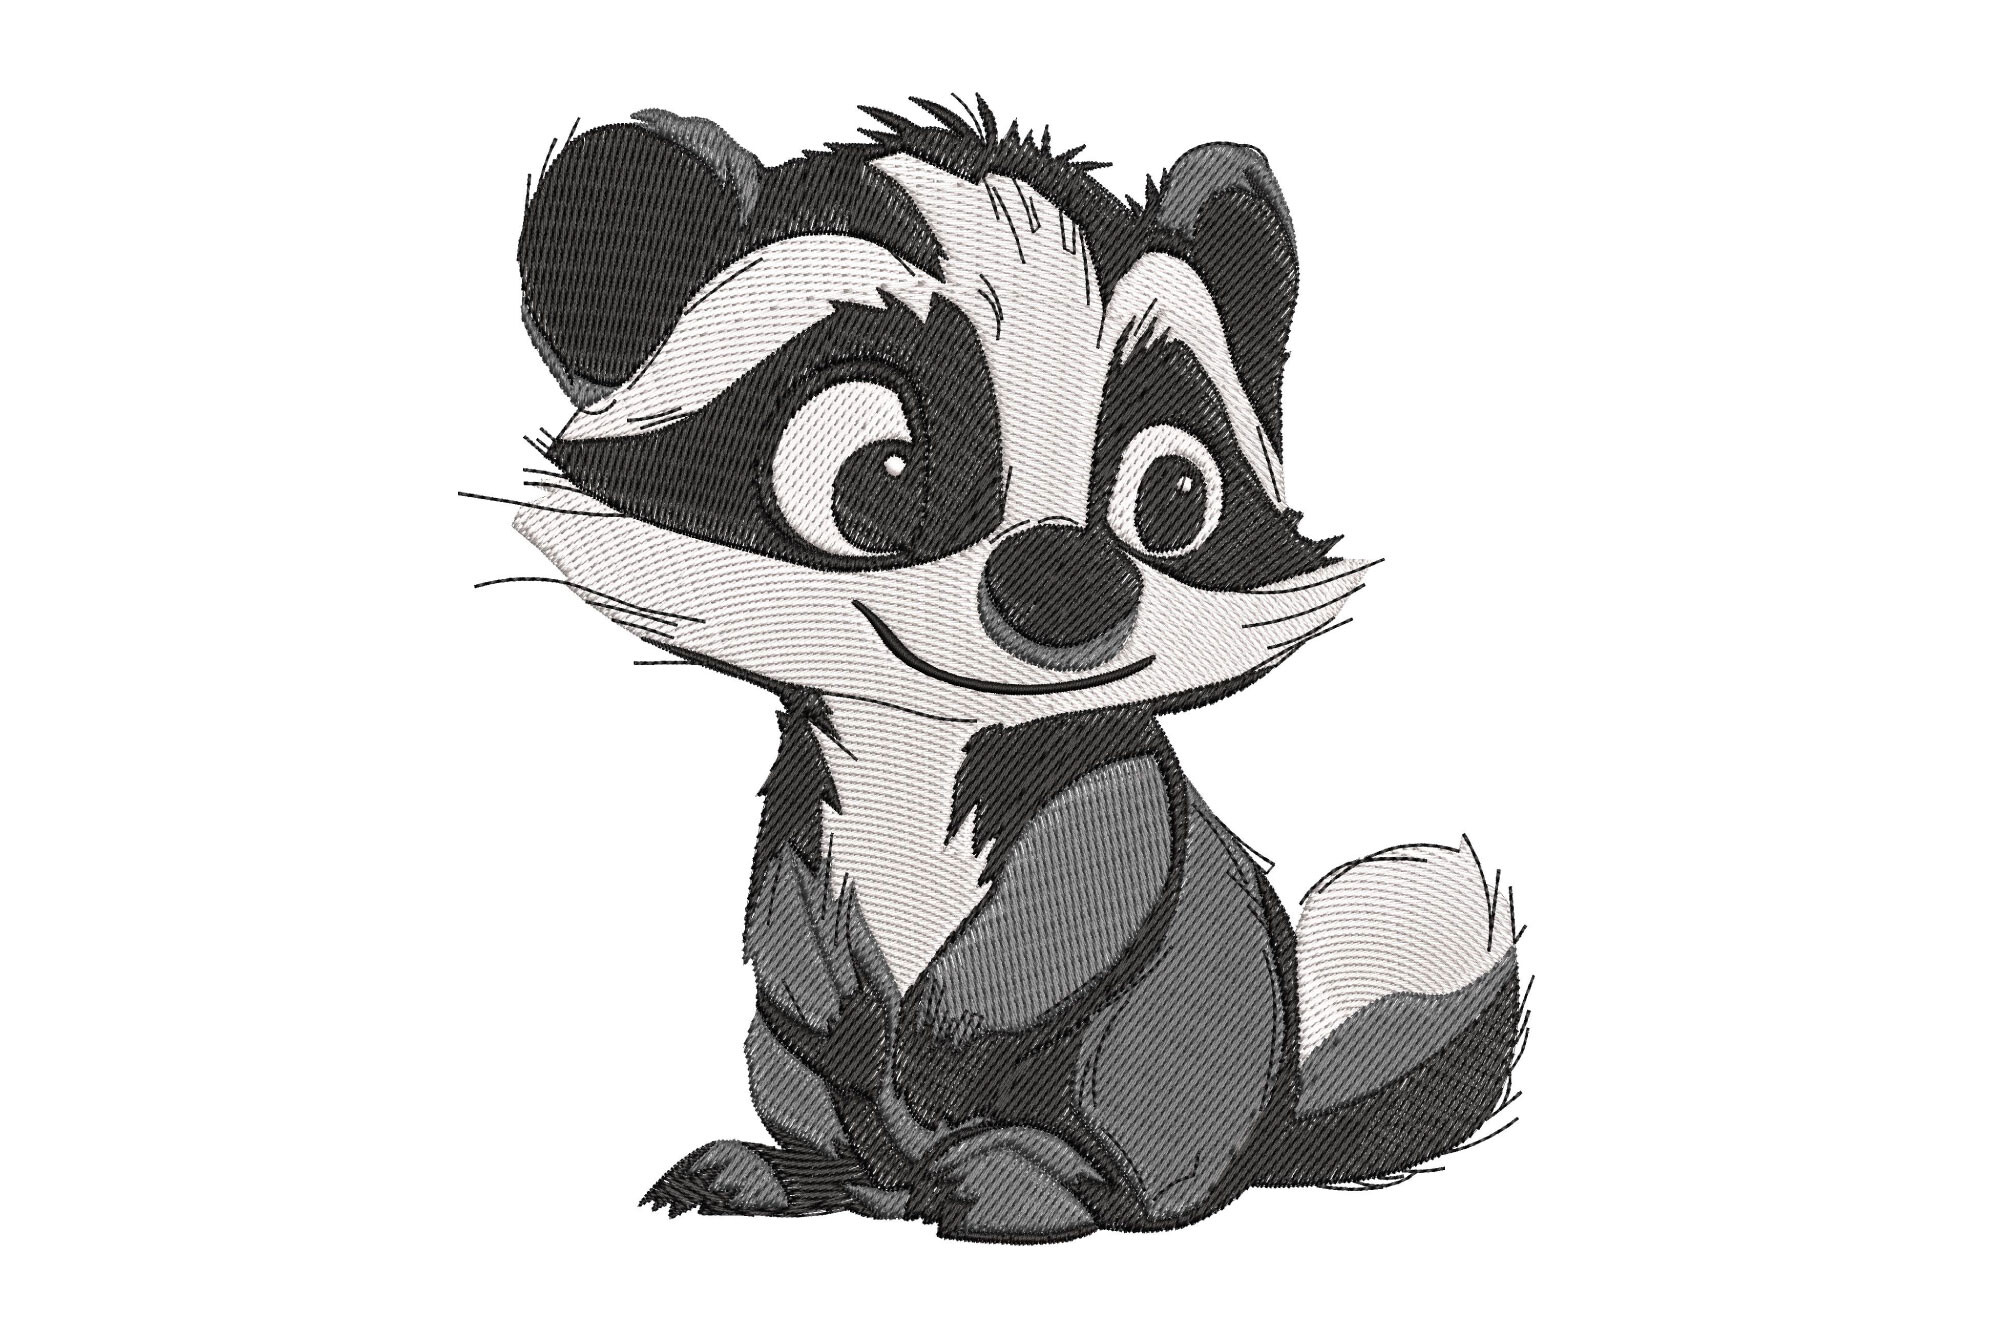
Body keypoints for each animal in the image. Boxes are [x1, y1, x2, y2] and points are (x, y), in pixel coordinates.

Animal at [493, 97, 1521, 1242]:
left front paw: (943, 1044)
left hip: (1171, 1058)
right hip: (791, 1073)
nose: (1067, 582)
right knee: (831, 1124)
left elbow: (1078, 895)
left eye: (1174, 492)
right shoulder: (804, 801)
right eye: (877, 473)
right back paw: (791, 1172)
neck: (929, 746)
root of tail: (1269, 1127)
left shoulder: (1109, 788)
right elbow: (785, 911)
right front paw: (850, 1023)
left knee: (1125, 1180)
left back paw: (1012, 1176)